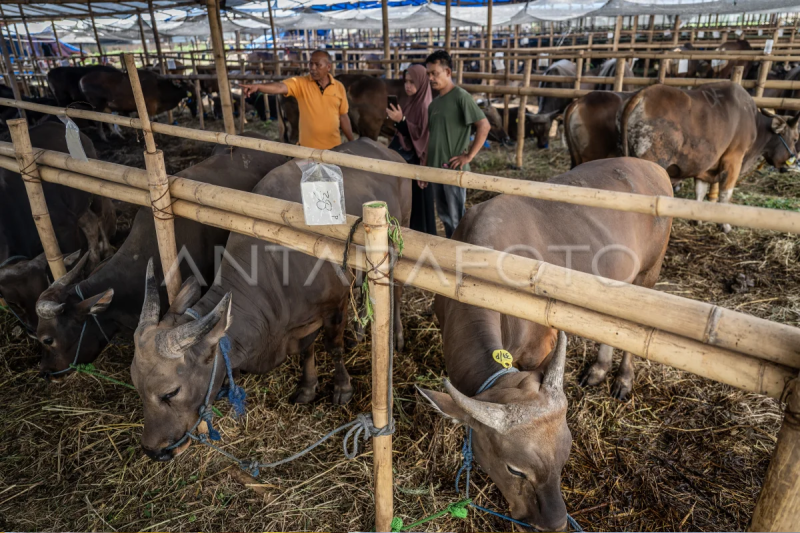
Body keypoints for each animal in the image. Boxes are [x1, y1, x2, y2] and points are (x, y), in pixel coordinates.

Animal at [0, 121, 115, 332]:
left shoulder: (65, 229)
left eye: (41, 287)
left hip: (94, 193)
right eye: (13, 302)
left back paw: (107, 251)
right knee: (90, 224)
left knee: (99, 218)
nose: (34, 328)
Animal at [128, 138, 410, 462]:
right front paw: (307, 387)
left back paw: (396, 337)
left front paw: (342, 388)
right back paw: (360, 333)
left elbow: (333, 346)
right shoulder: (302, 321)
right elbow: (307, 349)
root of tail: (385, 149)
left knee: (395, 293)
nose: (153, 450)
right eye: (135, 384)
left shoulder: (334, 305)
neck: (276, 266)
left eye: (170, 392)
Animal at [418, 156, 676, 528]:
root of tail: (651, 165)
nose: (555, 523)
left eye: (565, 456)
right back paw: (598, 369)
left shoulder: (540, 349)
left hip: (648, 276)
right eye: (515, 470)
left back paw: (623, 379)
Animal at [620, 82, 800, 231]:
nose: (794, 163)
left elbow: (700, 191)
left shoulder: (704, 168)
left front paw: (697, 219)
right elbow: (725, 194)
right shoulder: (734, 159)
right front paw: (725, 225)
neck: (756, 124)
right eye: (796, 138)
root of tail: (643, 94)